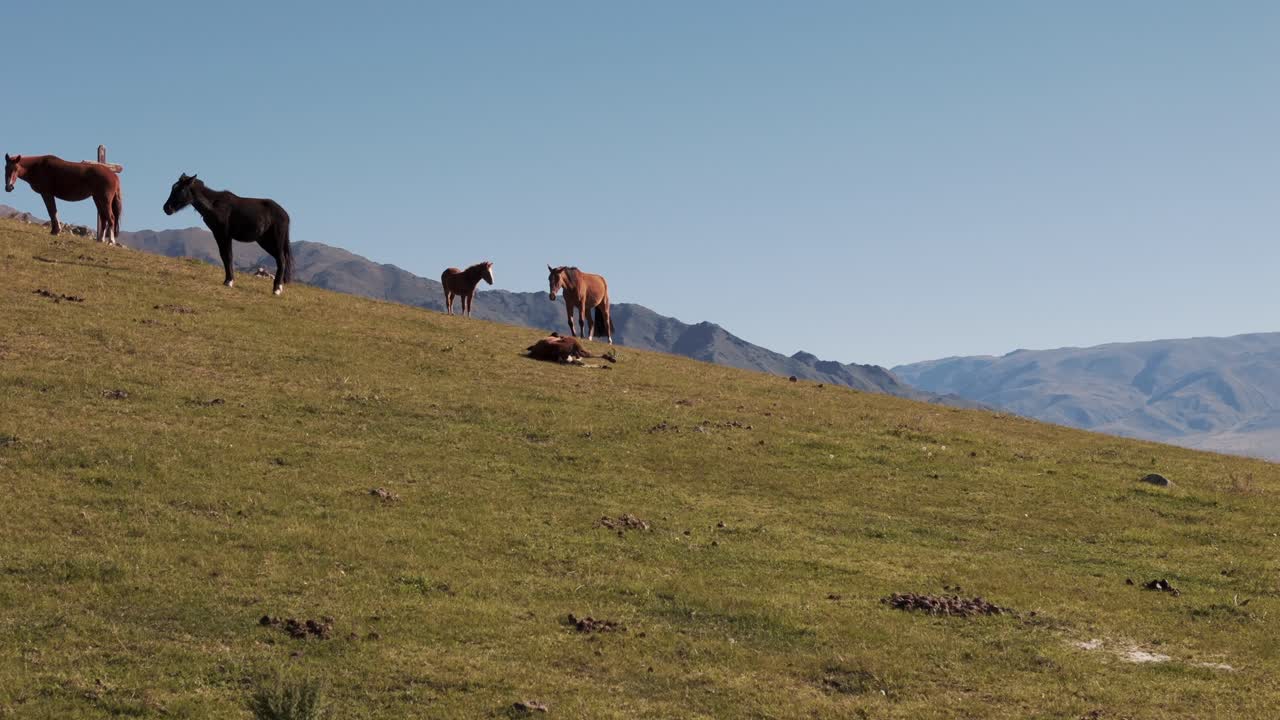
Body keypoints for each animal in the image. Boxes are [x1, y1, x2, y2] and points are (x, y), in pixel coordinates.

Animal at [162, 174, 292, 296]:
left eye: (181, 190)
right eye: (174, 188)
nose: (166, 208)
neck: (214, 205)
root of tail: (285, 214)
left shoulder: (224, 234)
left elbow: (228, 256)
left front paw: (229, 281)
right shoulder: (218, 234)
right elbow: (224, 256)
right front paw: (227, 280)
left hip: (275, 241)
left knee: (281, 260)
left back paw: (277, 289)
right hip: (265, 242)